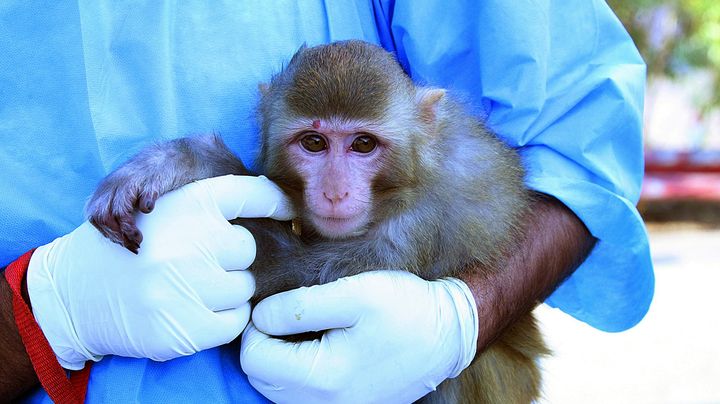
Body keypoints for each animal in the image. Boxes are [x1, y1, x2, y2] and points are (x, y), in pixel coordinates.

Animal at [86, 38, 544, 404]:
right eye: (313, 142)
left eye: (363, 144)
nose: (335, 192)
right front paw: (172, 162)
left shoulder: (419, 224)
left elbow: (293, 287)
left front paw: (193, 161)